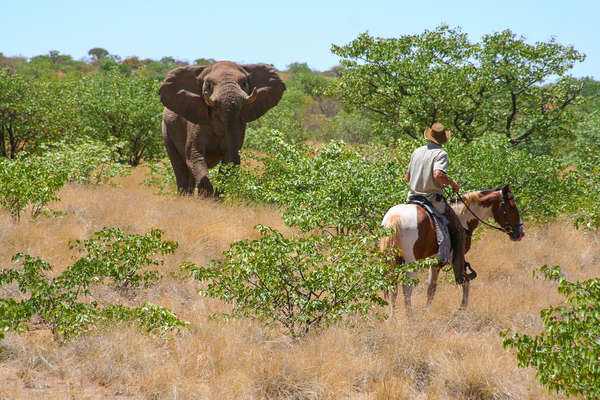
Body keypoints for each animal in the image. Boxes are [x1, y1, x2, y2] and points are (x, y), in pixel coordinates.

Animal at [159, 60, 286, 195]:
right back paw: (184, 196)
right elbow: (194, 156)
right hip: (166, 130)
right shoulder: (196, 121)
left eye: (244, 83)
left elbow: (229, 158)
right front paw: (205, 198)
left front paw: (217, 198)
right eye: (208, 85)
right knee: (180, 166)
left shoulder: (239, 124)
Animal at [382, 184, 524, 316]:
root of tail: (395, 217)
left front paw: (426, 311)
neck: (462, 217)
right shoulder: (452, 258)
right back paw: (409, 316)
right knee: (407, 288)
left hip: (393, 262)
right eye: (512, 206)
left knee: (392, 287)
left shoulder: (434, 261)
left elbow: (431, 288)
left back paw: (392, 316)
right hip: (411, 262)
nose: (520, 233)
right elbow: (464, 281)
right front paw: (461, 309)